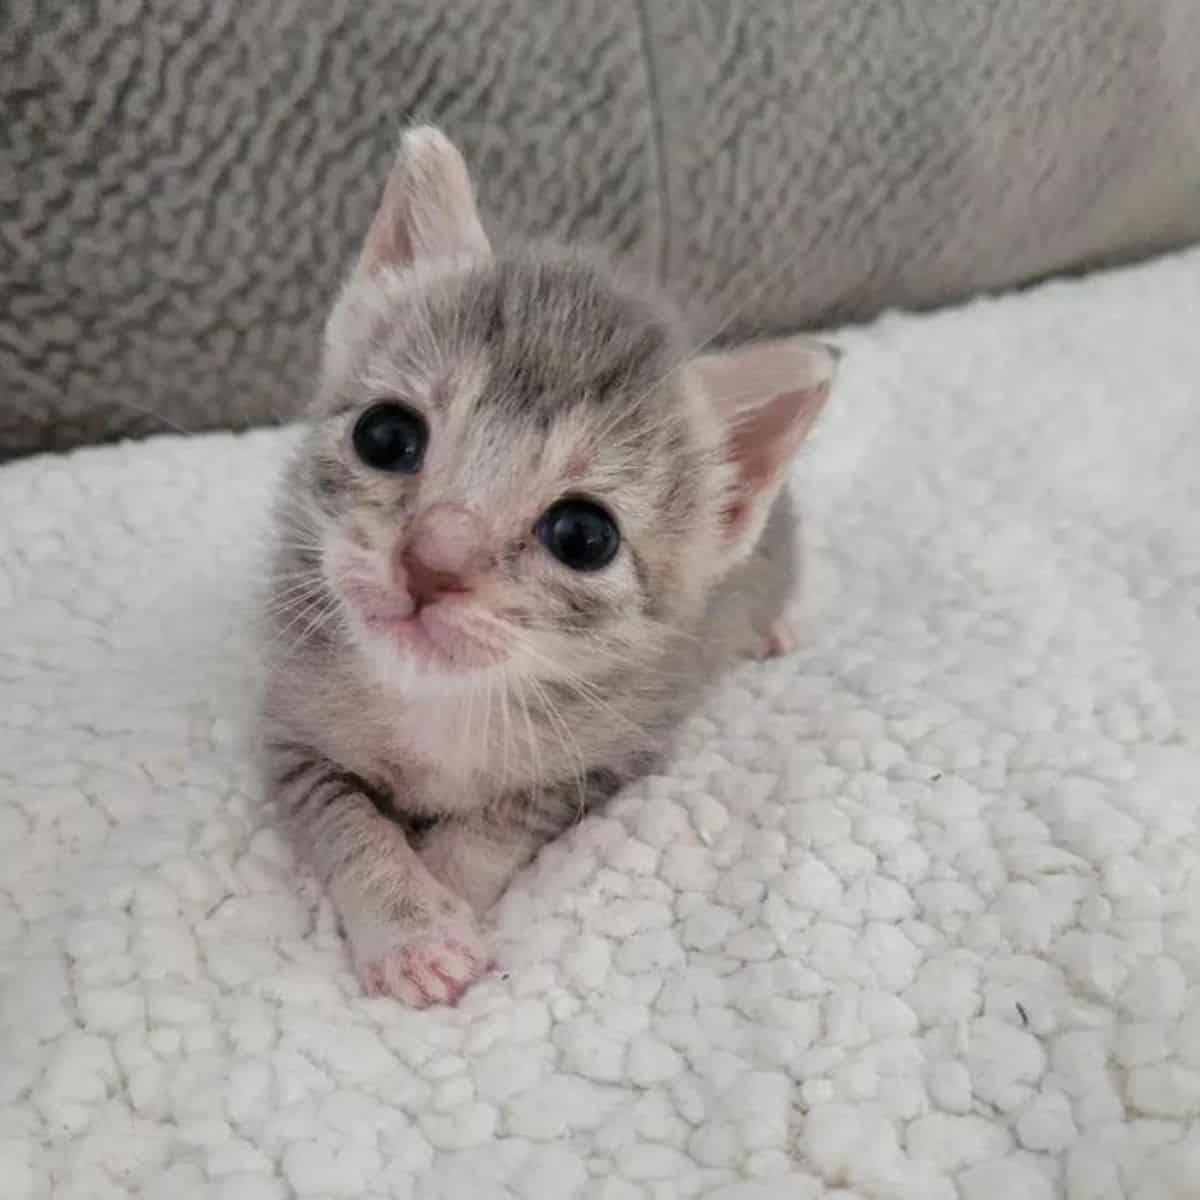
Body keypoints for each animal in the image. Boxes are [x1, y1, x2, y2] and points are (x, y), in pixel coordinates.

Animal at [260, 126, 835, 1008]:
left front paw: (445, 889)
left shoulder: (614, 753)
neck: (441, 701)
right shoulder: (291, 735)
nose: (431, 562)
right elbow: (347, 824)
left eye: (584, 536)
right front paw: (410, 923)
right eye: (385, 436)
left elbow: (496, 826)